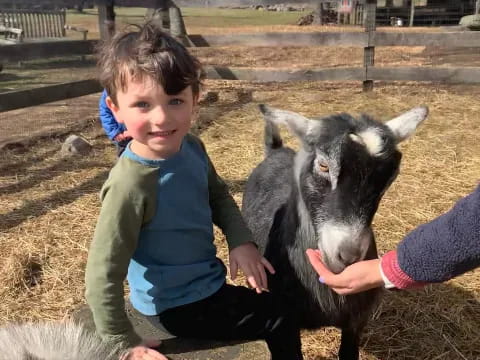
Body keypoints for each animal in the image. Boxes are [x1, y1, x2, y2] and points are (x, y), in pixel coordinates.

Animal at [244, 102, 428, 358]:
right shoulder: (282, 328)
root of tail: (275, 151)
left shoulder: (356, 322)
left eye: (390, 176)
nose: (348, 255)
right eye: (323, 165)